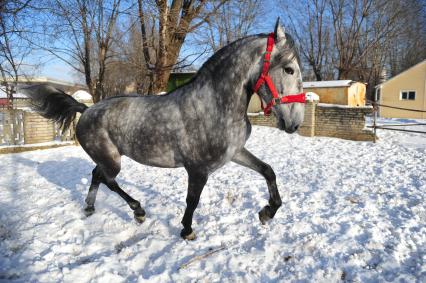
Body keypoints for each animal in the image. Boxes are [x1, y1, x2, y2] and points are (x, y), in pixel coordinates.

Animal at [23, 20, 304, 241]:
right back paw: (138, 210)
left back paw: (90, 208)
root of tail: (86, 109)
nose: (295, 123)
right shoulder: (198, 169)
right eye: (288, 69)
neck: (213, 105)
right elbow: (192, 200)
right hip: (112, 161)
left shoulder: (235, 152)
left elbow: (268, 170)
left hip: (108, 158)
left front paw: (267, 212)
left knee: (96, 175)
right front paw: (187, 230)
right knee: (108, 180)